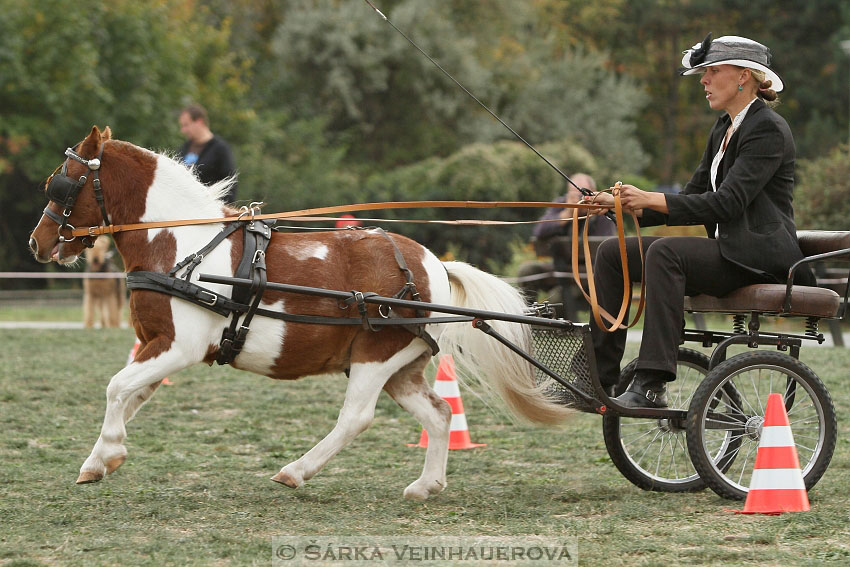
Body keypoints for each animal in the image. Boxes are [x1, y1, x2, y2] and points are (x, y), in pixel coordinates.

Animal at [28, 126, 568, 500]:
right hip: (401, 367)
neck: (179, 245)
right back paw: (425, 486)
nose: (38, 243)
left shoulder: (179, 346)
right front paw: (101, 458)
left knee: (356, 418)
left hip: (375, 358)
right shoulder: (155, 344)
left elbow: (117, 387)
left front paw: (106, 453)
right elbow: (132, 393)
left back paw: (296, 471)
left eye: (63, 184)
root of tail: (433, 264)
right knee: (438, 415)